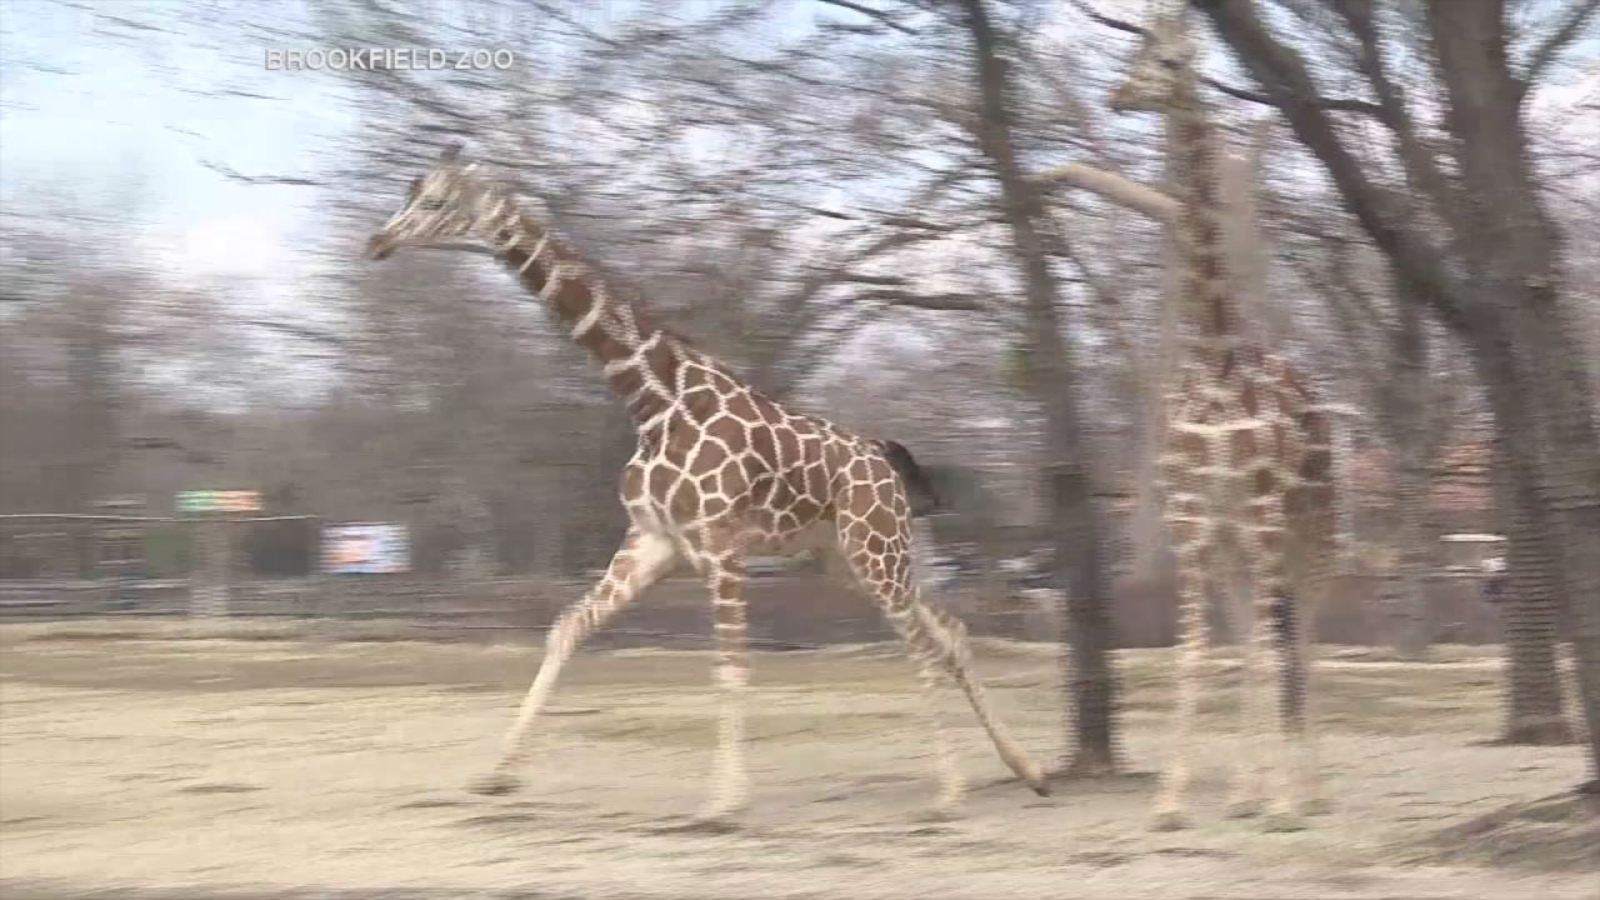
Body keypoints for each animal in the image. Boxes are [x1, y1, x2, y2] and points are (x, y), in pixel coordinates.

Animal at [365, 145, 1050, 825]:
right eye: (409, 191)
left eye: (435, 201)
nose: (378, 241)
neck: (652, 402)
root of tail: (882, 459)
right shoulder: (654, 540)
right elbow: (566, 627)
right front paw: (496, 775)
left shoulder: (720, 546)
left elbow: (731, 668)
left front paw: (724, 802)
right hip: (842, 558)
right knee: (948, 631)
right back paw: (1029, 770)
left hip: (876, 548)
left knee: (923, 644)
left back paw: (951, 791)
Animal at [1109, 2, 1338, 832]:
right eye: (1139, 45)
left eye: (1174, 57)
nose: (1121, 94)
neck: (1214, 358)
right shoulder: (1193, 521)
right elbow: (1200, 652)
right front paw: (1174, 801)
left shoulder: (1266, 518)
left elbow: (1274, 651)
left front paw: (1283, 802)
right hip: (1242, 545)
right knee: (1255, 636)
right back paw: (1250, 790)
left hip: (1313, 529)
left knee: (1303, 637)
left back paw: (1304, 790)